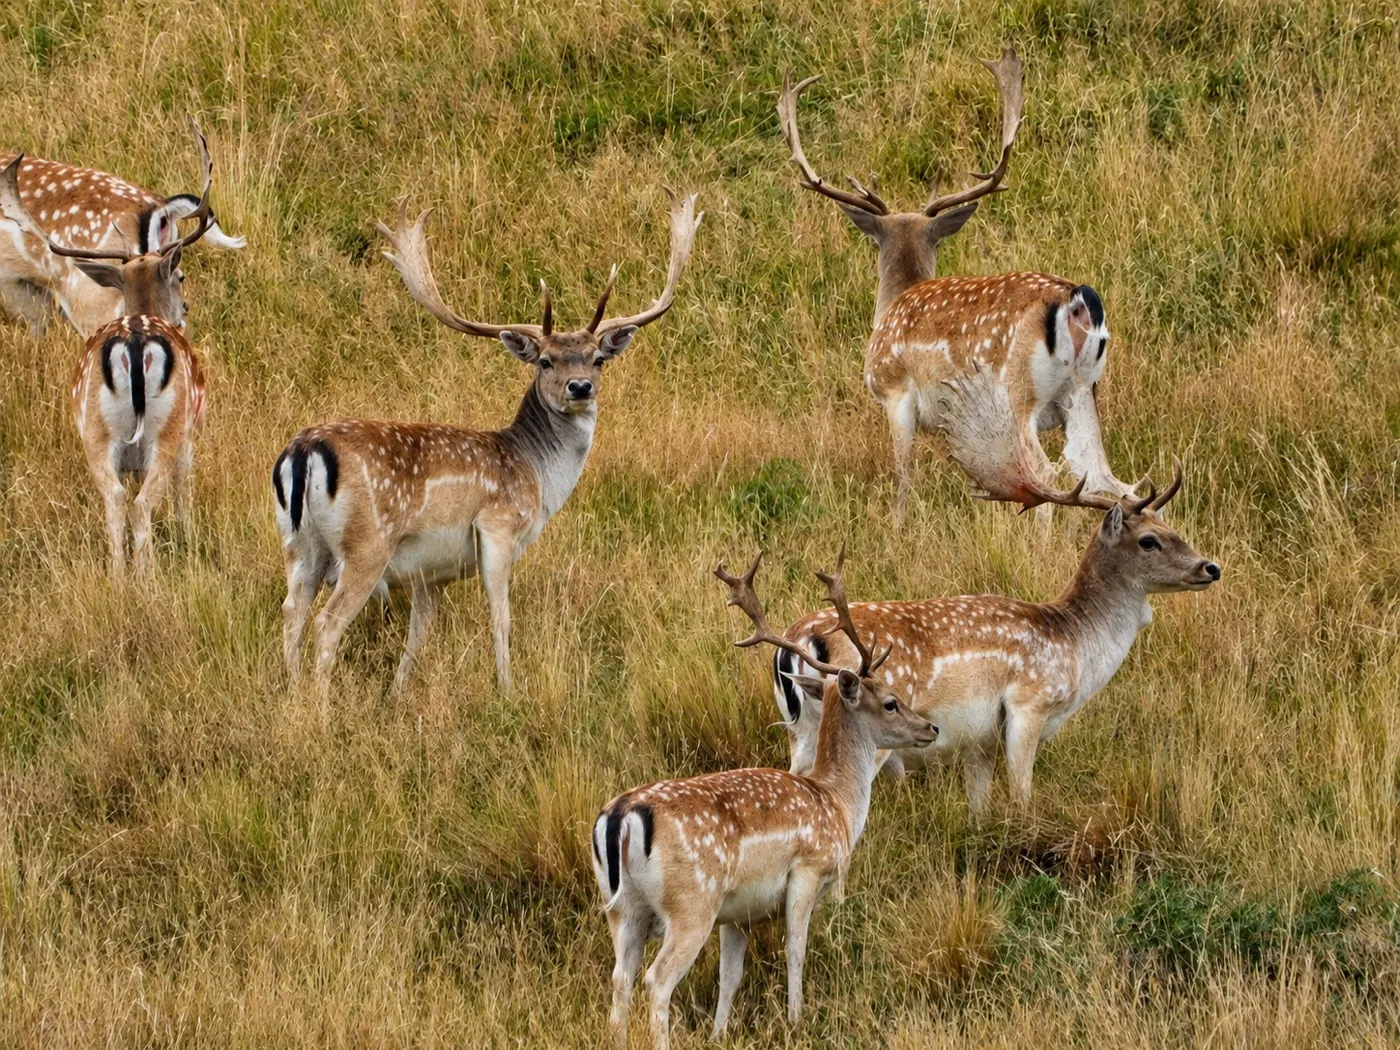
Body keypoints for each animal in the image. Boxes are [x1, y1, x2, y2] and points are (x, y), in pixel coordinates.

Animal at [273, 194, 702, 695]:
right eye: (545, 361)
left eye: (598, 359)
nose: (580, 387)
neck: (537, 478)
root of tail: (302, 452)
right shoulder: (498, 527)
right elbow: (501, 618)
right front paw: (508, 689)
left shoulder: (432, 572)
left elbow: (419, 635)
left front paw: (398, 693)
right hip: (367, 545)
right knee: (327, 622)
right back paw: (319, 703)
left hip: (298, 544)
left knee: (292, 612)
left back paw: (292, 693)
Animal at [591, 549, 936, 1050]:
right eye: (891, 701)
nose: (931, 727)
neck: (837, 804)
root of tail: (619, 817)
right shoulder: (806, 872)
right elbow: (796, 948)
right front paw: (796, 1020)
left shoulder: (738, 914)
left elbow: (730, 975)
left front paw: (720, 1032)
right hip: (691, 904)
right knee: (656, 980)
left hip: (621, 907)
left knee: (620, 977)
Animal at [767, 368, 1220, 815]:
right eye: (1148, 541)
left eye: (1171, 527)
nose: (1210, 567)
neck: (1074, 646)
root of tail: (797, 643)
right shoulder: (1028, 704)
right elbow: (1021, 793)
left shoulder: (980, 739)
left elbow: (979, 806)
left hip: (800, 730)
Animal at [778, 49, 1135, 524]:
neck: (892, 304)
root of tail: (1074, 300)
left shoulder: (895, 393)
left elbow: (903, 475)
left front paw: (898, 527)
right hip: (1082, 391)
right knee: (1115, 483)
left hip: (1017, 394)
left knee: (1047, 475)